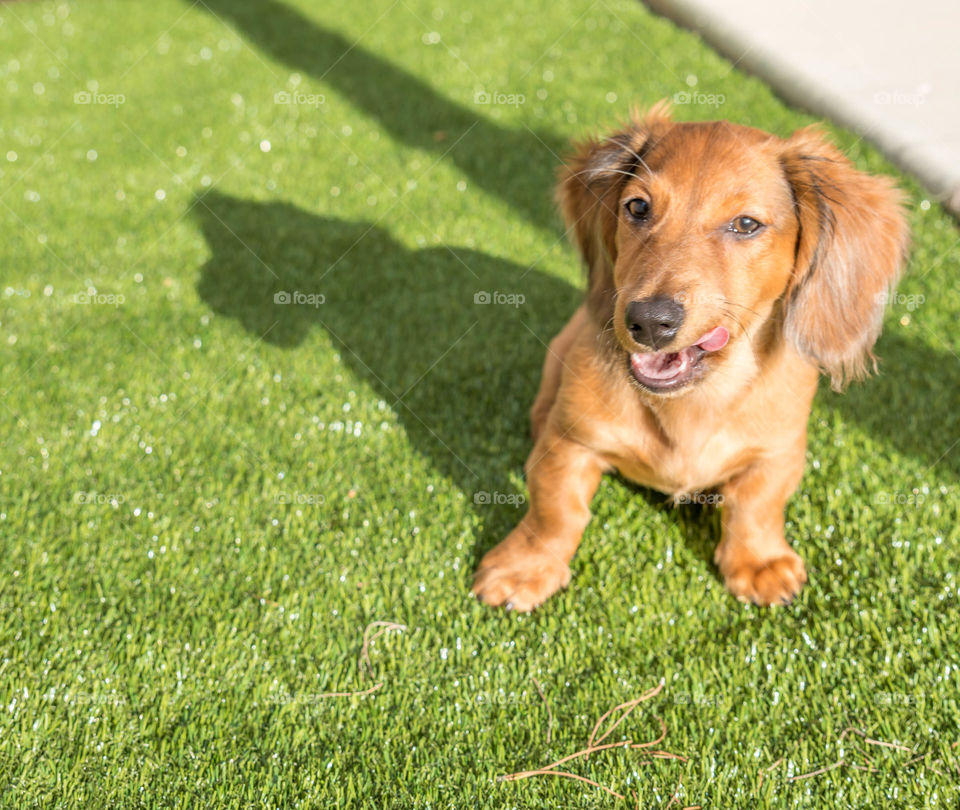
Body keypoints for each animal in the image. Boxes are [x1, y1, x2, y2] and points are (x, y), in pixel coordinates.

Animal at [472, 102, 908, 608]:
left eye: (746, 224)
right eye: (637, 207)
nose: (648, 321)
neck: (695, 399)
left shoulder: (779, 452)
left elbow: (756, 506)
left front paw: (759, 561)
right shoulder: (571, 442)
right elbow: (554, 509)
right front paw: (526, 565)